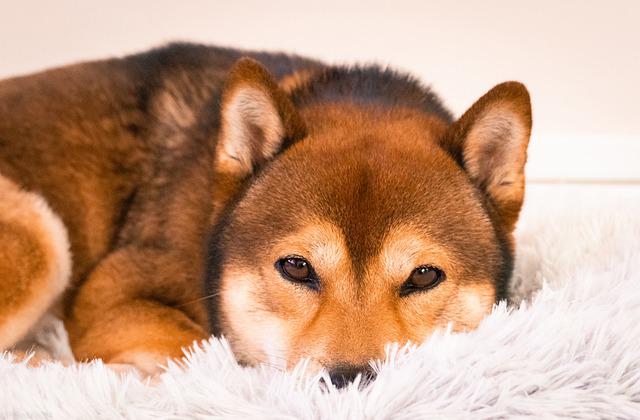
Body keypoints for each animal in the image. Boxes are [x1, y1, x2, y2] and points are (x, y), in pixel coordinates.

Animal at [0, 43, 528, 388]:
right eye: (296, 267)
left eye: (422, 276)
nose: (351, 380)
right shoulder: (109, 293)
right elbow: (198, 349)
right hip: (41, 238)